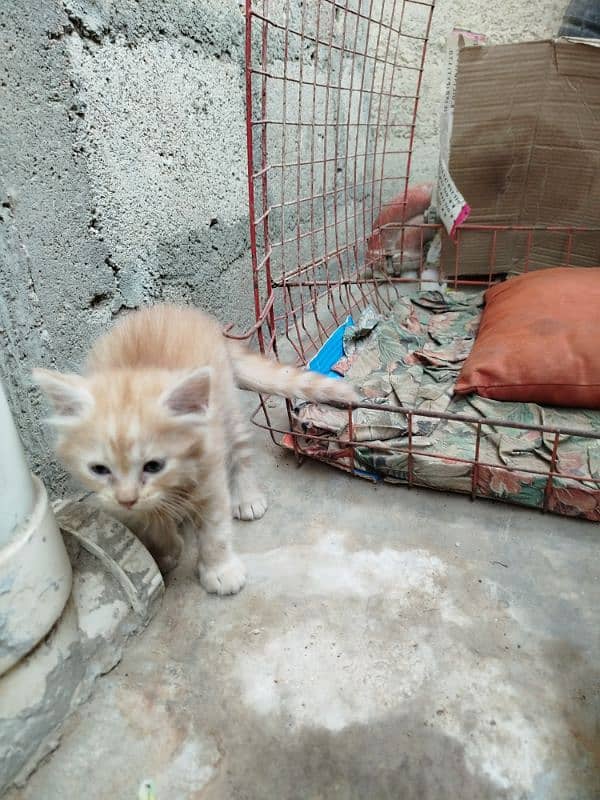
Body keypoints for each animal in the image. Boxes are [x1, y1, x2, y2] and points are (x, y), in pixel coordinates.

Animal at [34, 304, 356, 592]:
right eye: (99, 469)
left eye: (154, 466)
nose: (126, 500)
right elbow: (150, 519)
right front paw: (166, 549)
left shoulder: (210, 468)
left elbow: (215, 529)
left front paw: (220, 570)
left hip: (226, 406)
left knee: (240, 450)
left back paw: (247, 497)